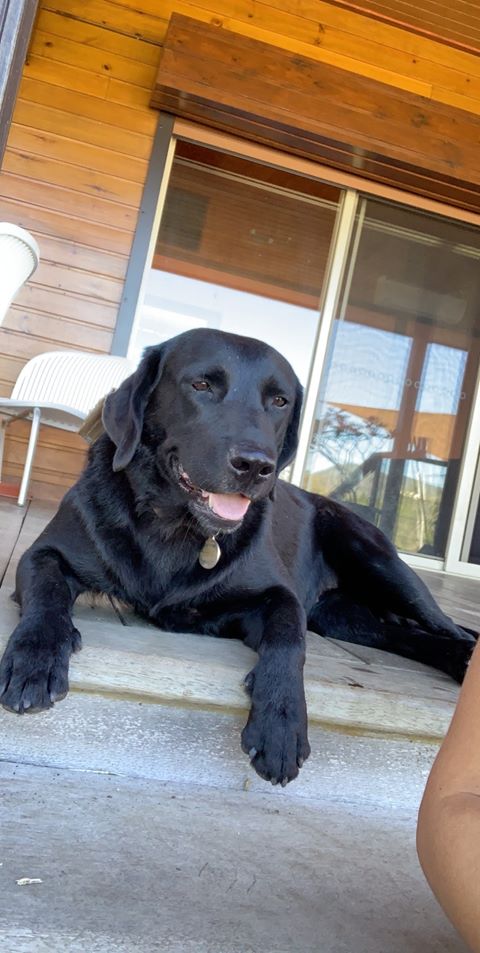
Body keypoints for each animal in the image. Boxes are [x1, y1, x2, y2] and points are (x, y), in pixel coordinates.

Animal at [0, 330, 474, 784]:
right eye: (202, 385)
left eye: (280, 401)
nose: (255, 465)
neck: (175, 526)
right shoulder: (44, 553)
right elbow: (47, 593)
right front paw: (34, 659)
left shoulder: (277, 596)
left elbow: (289, 636)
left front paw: (281, 721)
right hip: (344, 618)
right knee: (408, 636)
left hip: (379, 562)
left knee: (446, 628)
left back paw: (465, 658)